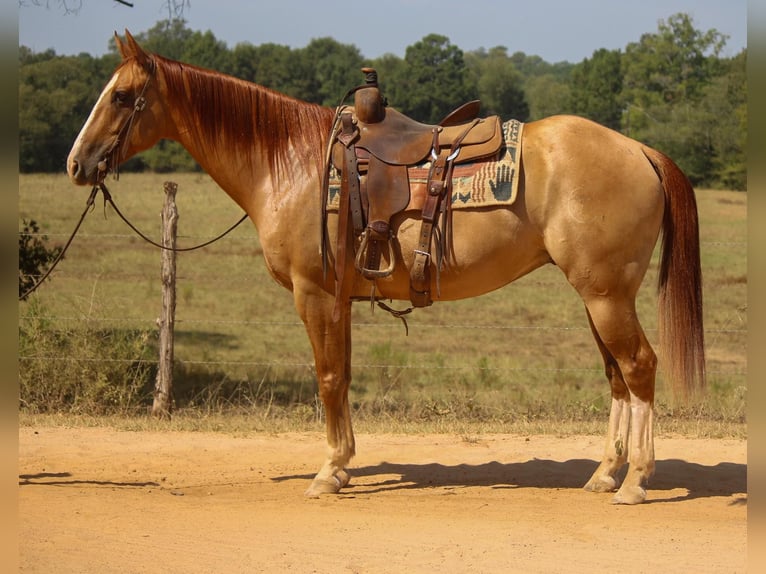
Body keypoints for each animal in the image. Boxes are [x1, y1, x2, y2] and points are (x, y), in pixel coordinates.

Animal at [67, 32, 708, 508]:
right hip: (599, 298)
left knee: (639, 367)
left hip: (606, 295)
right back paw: (604, 474)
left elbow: (328, 378)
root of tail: (640, 150)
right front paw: (344, 465)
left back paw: (635, 481)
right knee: (619, 377)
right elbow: (345, 376)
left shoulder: (314, 294)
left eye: (122, 97)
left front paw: (327, 472)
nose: (77, 163)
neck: (292, 163)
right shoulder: (340, 299)